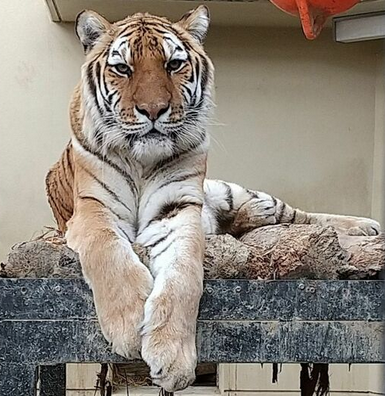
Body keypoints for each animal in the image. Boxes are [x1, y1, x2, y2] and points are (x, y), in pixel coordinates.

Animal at [45, 6, 380, 392]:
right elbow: (108, 252)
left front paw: (173, 358)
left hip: (234, 191)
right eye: (123, 68)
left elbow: (183, 276)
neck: (141, 160)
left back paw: (362, 226)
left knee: (301, 216)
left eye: (173, 64)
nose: (153, 110)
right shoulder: (92, 209)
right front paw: (129, 325)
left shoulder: (179, 209)